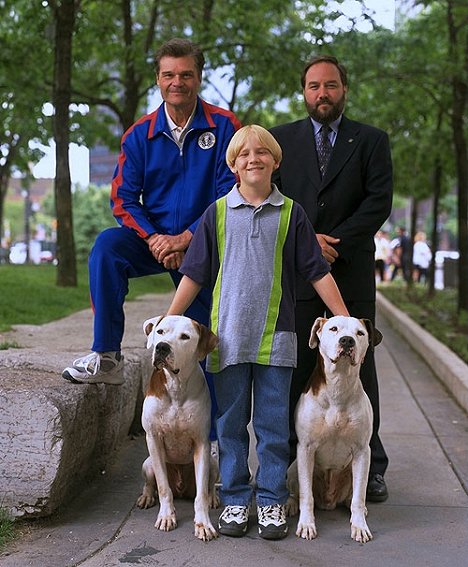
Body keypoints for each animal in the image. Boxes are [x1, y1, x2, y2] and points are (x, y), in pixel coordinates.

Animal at [137, 316, 219, 540]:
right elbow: (163, 487)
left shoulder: (201, 443)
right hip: (147, 464)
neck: (176, 387)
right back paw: (147, 496)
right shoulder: (153, 439)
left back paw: (213, 498)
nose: (162, 347)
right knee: (151, 483)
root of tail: (182, 489)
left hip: (213, 463)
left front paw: (203, 523)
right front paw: (166, 516)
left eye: (185, 337)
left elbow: (201, 494)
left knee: (209, 485)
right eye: (160, 332)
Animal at [288, 318, 384, 544]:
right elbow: (306, 494)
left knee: (353, 496)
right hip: (293, 466)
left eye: (360, 333)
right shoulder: (305, 449)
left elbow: (358, 497)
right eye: (333, 329)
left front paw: (359, 527)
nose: (347, 340)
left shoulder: (362, 451)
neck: (338, 387)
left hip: (355, 470)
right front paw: (306, 524)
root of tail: (329, 501)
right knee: (295, 491)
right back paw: (290, 504)